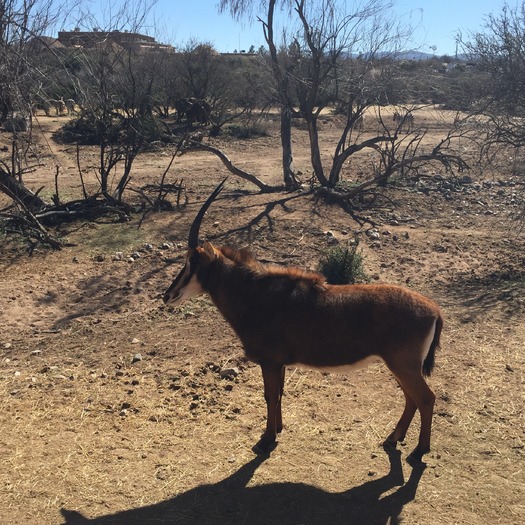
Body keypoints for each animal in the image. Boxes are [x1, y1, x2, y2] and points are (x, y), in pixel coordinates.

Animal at [164, 181, 442, 462]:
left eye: (192, 261)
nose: (168, 295)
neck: (256, 294)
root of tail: (434, 310)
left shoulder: (270, 362)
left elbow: (270, 396)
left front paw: (266, 440)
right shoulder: (280, 364)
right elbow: (279, 394)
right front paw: (278, 429)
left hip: (404, 365)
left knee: (425, 399)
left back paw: (419, 451)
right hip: (400, 366)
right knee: (411, 398)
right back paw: (393, 438)